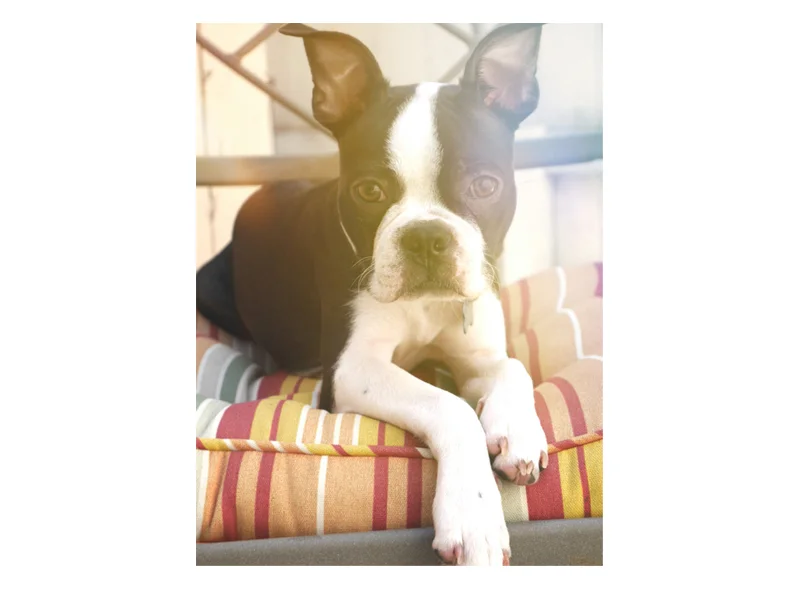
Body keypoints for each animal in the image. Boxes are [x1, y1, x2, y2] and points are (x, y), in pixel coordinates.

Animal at [196, 23, 549, 566]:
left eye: (485, 186)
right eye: (368, 192)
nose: (425, 237)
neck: (424, 305)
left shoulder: (476, 353)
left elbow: (513, 367)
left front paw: (518, 429)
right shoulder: (351, 371)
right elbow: (451, 405)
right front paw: (474, 516)